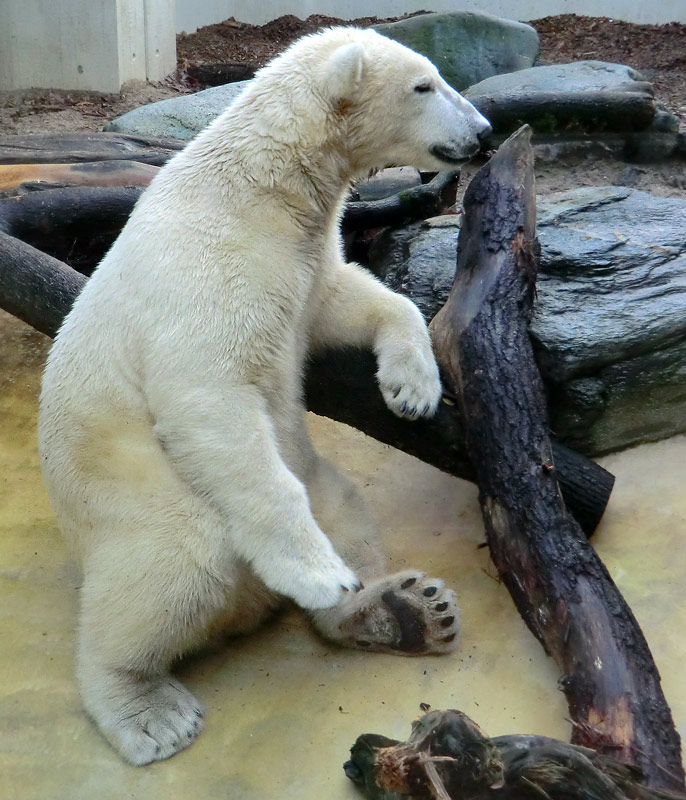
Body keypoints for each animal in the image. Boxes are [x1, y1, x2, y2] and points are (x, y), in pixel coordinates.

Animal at [37, 26, 492, 764]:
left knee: (344, 506)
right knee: (178, 562)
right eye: (424, 85)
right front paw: (316, 574)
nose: (482, 132)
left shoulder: (301, 258)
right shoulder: (208, 265)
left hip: (317, 476)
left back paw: (402, 609)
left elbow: (345, 298)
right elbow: (207, 393)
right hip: (134, 500)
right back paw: (148, 709)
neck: (258, 185)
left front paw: (413, 388)